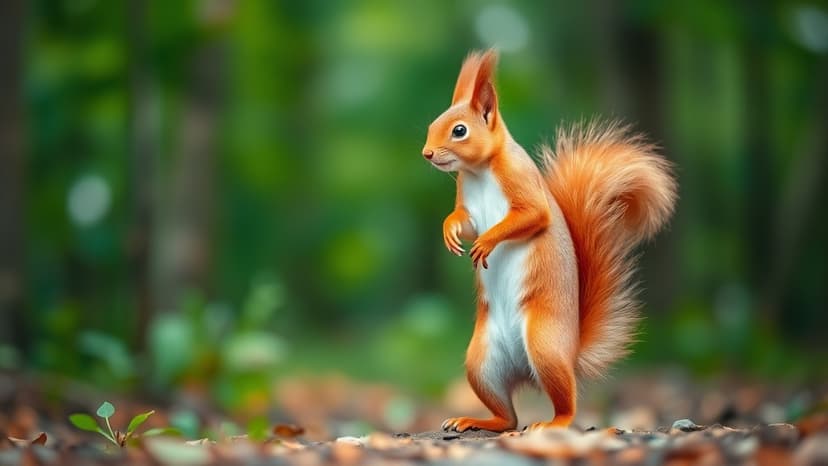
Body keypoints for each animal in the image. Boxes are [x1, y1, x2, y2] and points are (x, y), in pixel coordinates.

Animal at [421, 49, 677, 432]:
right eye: (430, 126)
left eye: (459, 130)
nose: (426, 153)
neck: (480, 171)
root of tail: (569, 353)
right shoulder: (468, 202)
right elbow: (464, 223)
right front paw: (449, 231)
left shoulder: (524, 185)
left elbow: (532, 217)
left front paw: (488, 242)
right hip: (481, 363)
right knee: (508, 417)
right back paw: (476, 420)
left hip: (544, 348)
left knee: (564, 406)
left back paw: (552, 423)